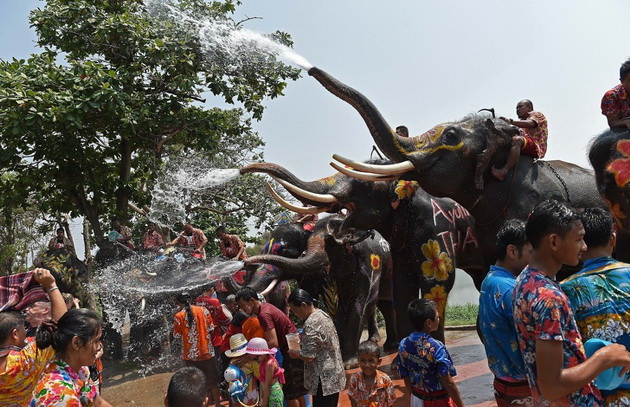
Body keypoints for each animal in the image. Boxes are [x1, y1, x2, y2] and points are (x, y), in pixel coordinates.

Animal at [237, 215, 396, 364]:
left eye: (286, 251)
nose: (245, 261)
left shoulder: (369, 260)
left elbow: (362, 301)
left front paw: (348, 363)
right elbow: (341, 303)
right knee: (385, 304)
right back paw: (389, 346)